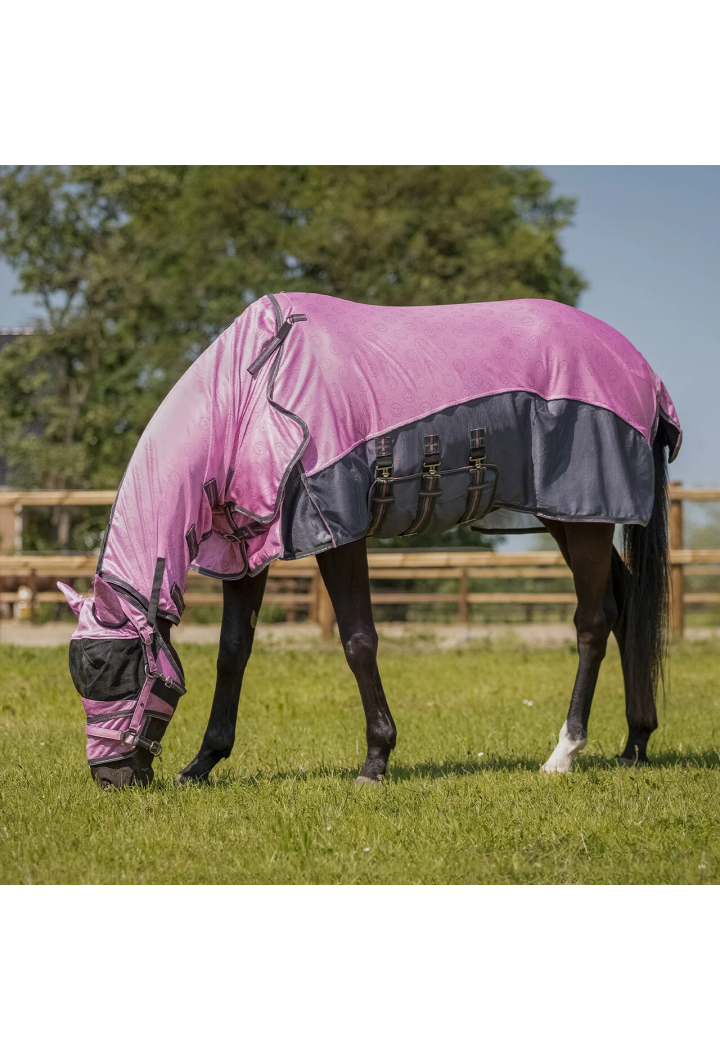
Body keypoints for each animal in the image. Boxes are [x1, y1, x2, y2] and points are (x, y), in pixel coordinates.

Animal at [58, 292, 681, 788]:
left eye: (101, 665)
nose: (110, 776)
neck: (254, 390)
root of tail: (645, 376)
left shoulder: (337, 531)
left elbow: (358, 642)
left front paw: (376, 760)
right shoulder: (245, 547)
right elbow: (233, 651)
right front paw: (202, 764)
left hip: (586, 518)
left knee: (593, 621)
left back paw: (564, 753)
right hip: (572, 515)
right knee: (626, 608)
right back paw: (635, 743)